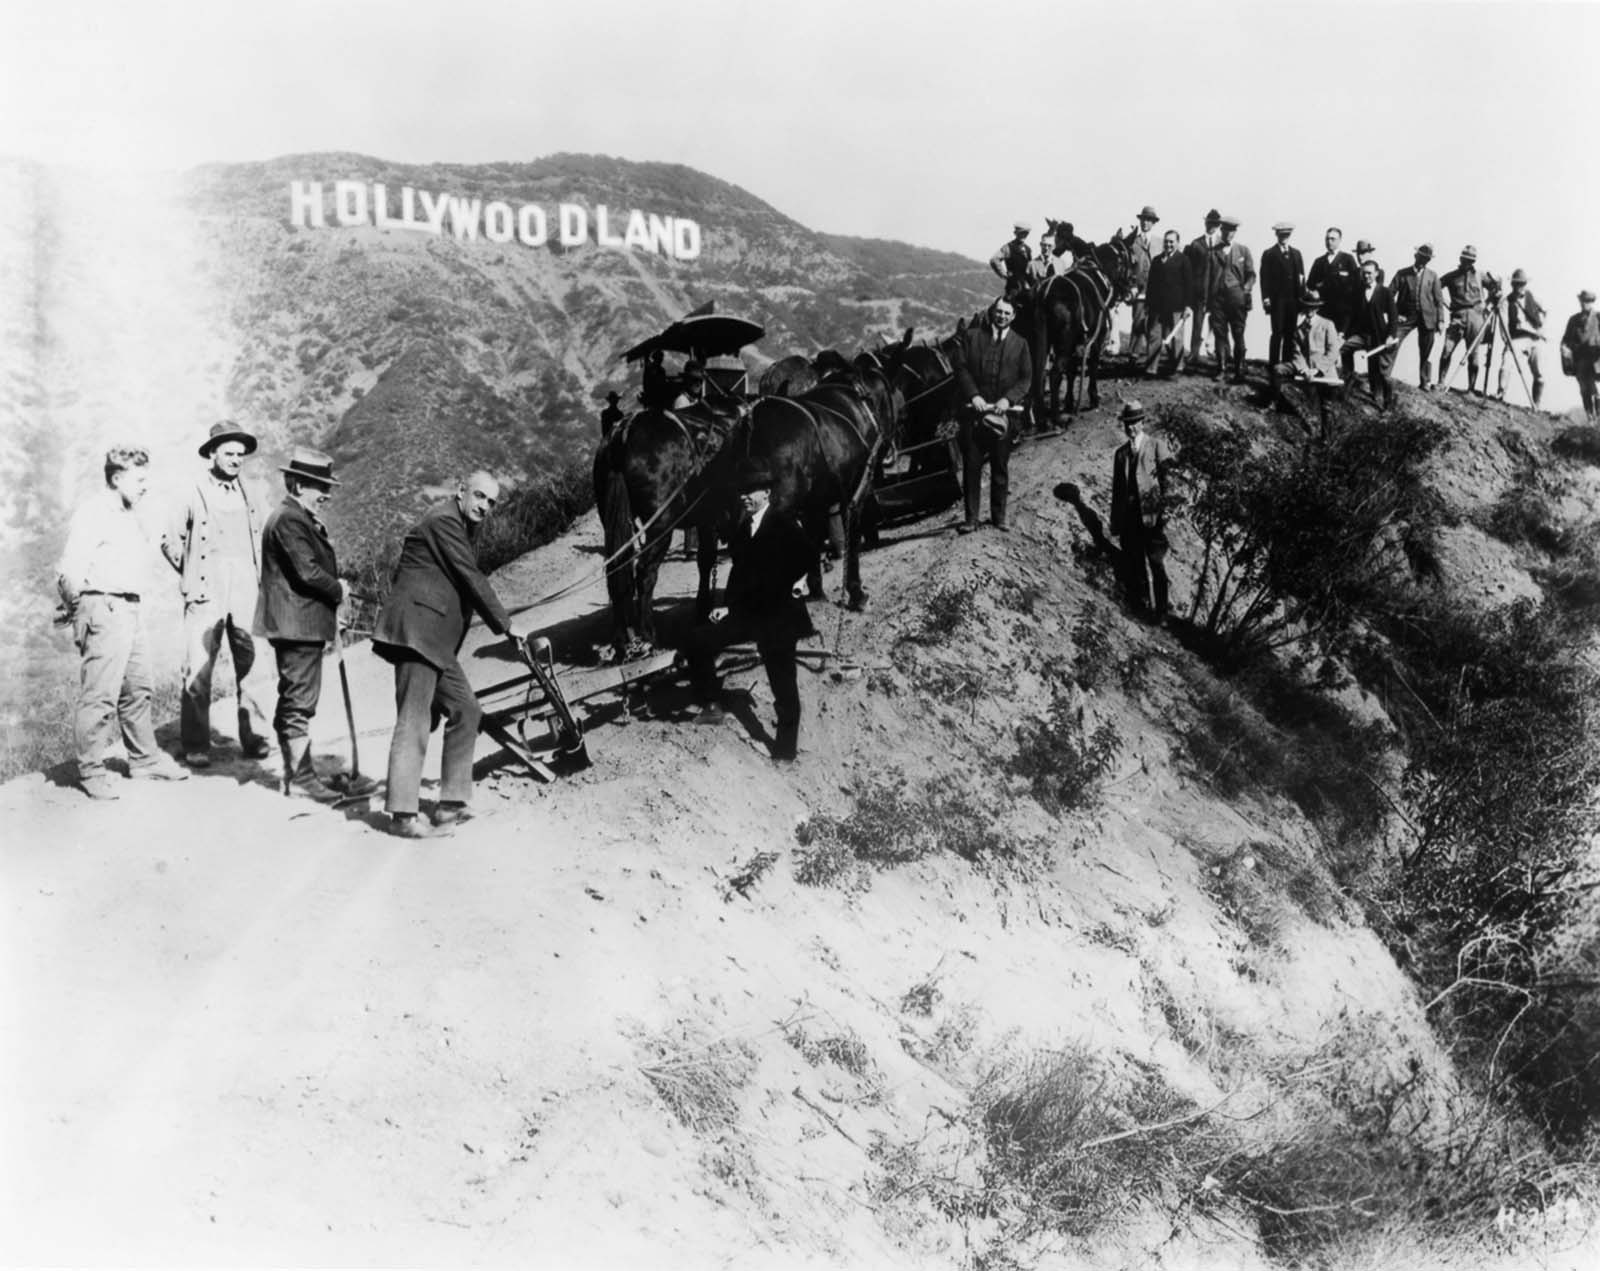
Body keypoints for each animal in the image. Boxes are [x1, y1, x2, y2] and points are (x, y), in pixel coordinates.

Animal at [1024, 230, 1139, 422]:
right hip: (1063, 343)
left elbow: (1071, 370)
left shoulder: (1074, 343)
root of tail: (1044, 295)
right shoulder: (1097, 337)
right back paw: (1056, 418)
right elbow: (1092, 365)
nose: (1133, 287)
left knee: (1036, 373)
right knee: (1055, 374)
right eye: (1133, 260)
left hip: (1040, 343)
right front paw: (1093, 397)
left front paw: (1070, 402)